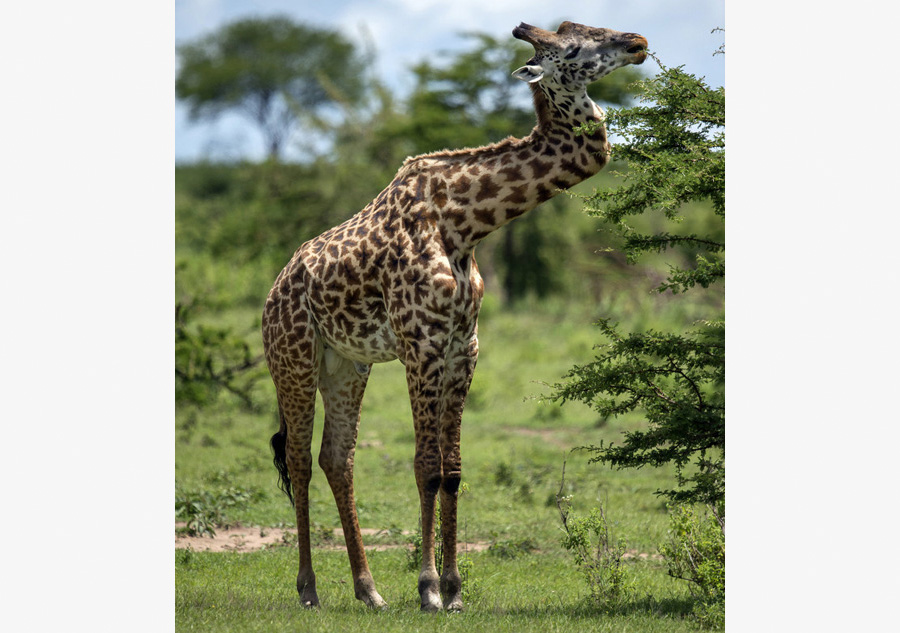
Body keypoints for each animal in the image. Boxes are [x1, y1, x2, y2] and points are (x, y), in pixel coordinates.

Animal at [261, 21, 648, 612]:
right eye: (577, 45)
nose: (638, 43)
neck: (464, 223)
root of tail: (272, 294)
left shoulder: (463, 347)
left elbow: (454, 471)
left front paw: (455, 590)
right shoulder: (420, 344)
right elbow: (425, 467)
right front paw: (427, 590)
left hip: (346, 364)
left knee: (336, 457)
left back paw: (368, 591)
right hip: (294, 359)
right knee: (301, 458)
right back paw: (309, 590)